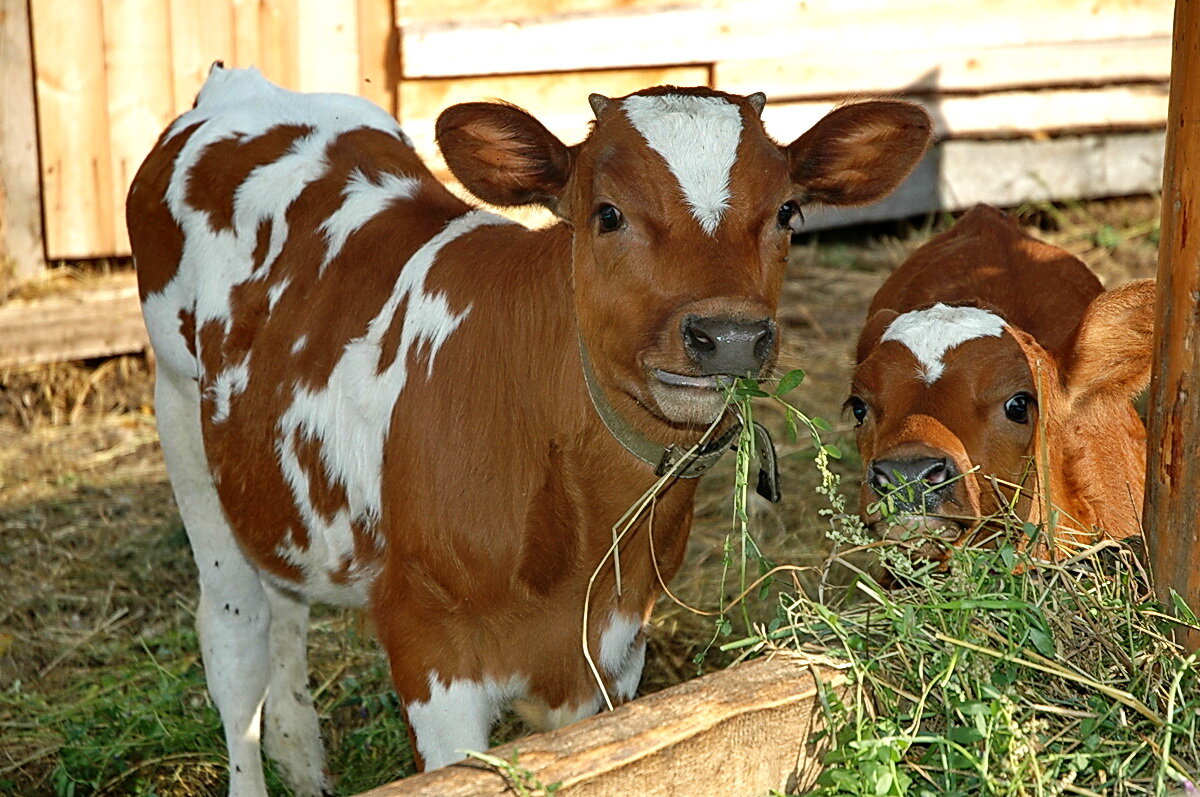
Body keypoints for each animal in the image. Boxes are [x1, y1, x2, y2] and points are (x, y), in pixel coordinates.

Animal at [129, 65, 926, 792]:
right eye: (607, 213)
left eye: (788, 212)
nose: (728, 336)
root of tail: (239, 85)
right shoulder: (430, 644)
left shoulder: (608, 649)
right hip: (180, 417)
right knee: (236, 643)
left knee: (287, 609)